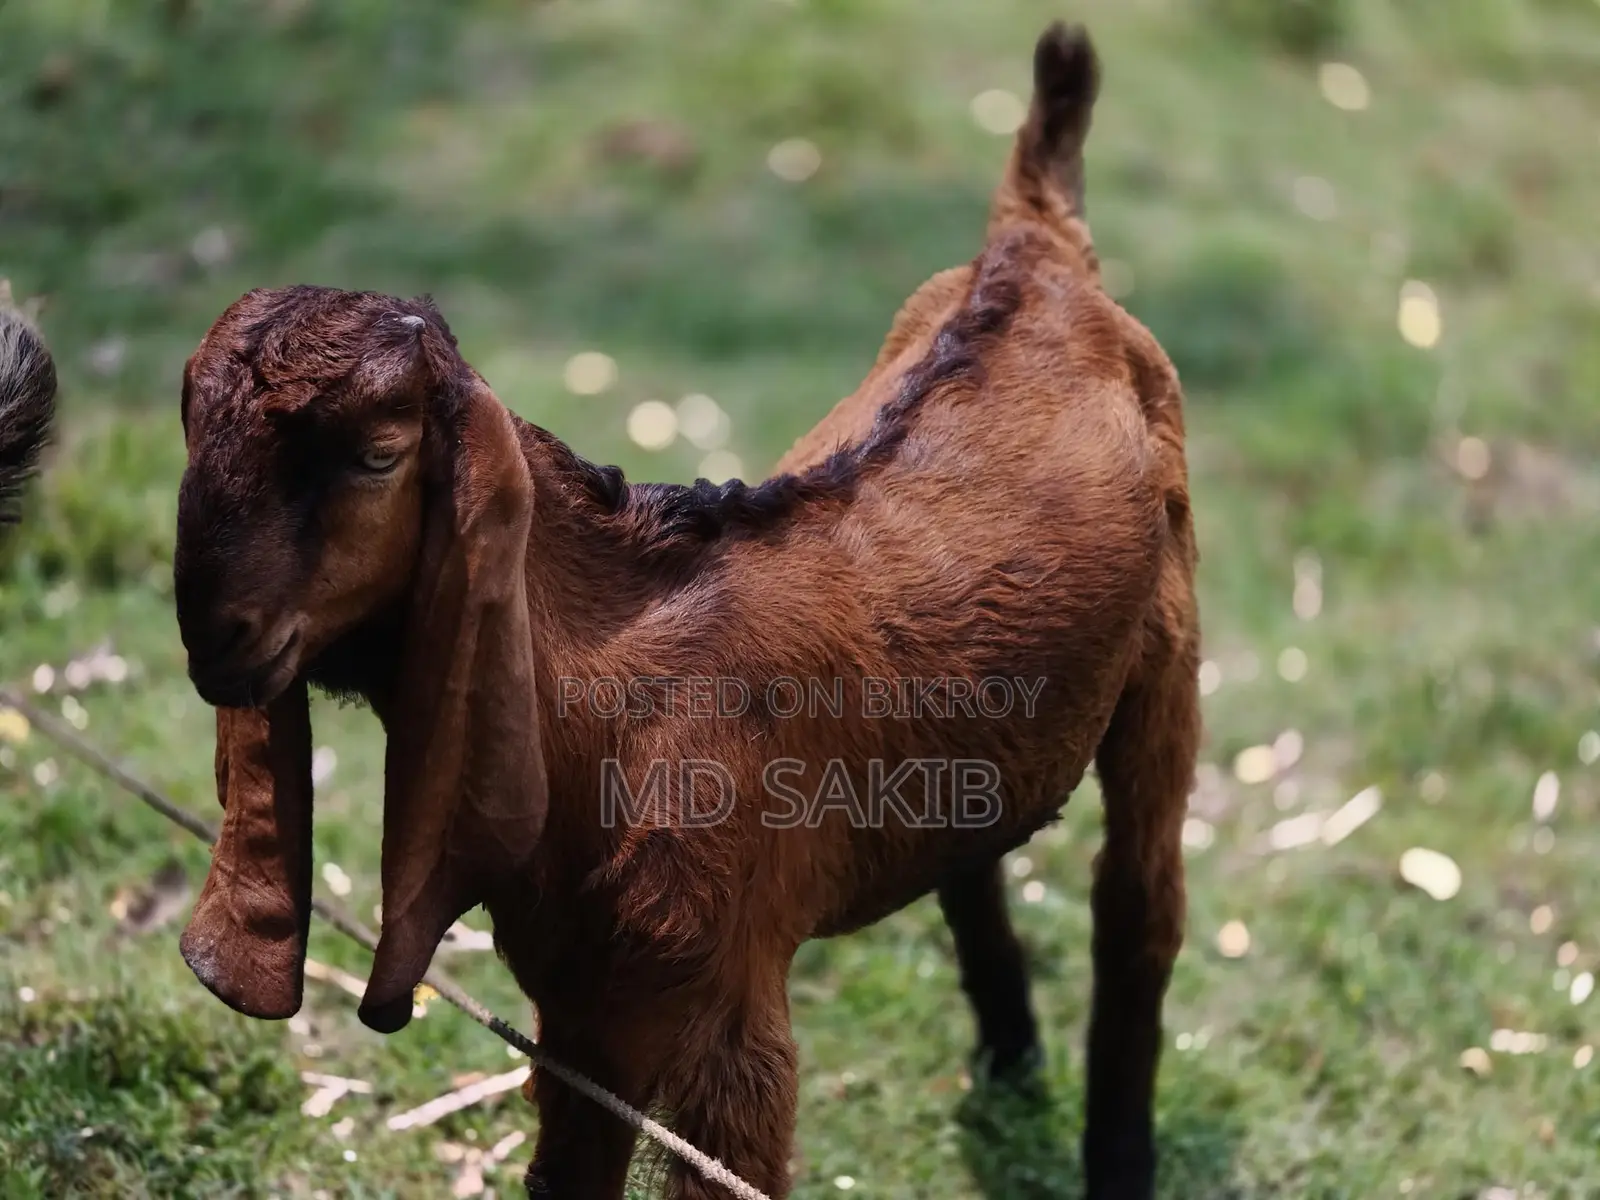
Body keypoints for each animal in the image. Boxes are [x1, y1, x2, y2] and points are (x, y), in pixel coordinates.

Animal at [172, 23, 1197, 1200]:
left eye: (377, 454)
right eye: (189, 427)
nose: (214, 631)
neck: (609, 704)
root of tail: (1033, 249)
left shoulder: (728, 1017)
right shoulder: (583, 1004)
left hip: (1170, 656)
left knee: (1139, 904)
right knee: (979, 854)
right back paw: (1011, 1052)